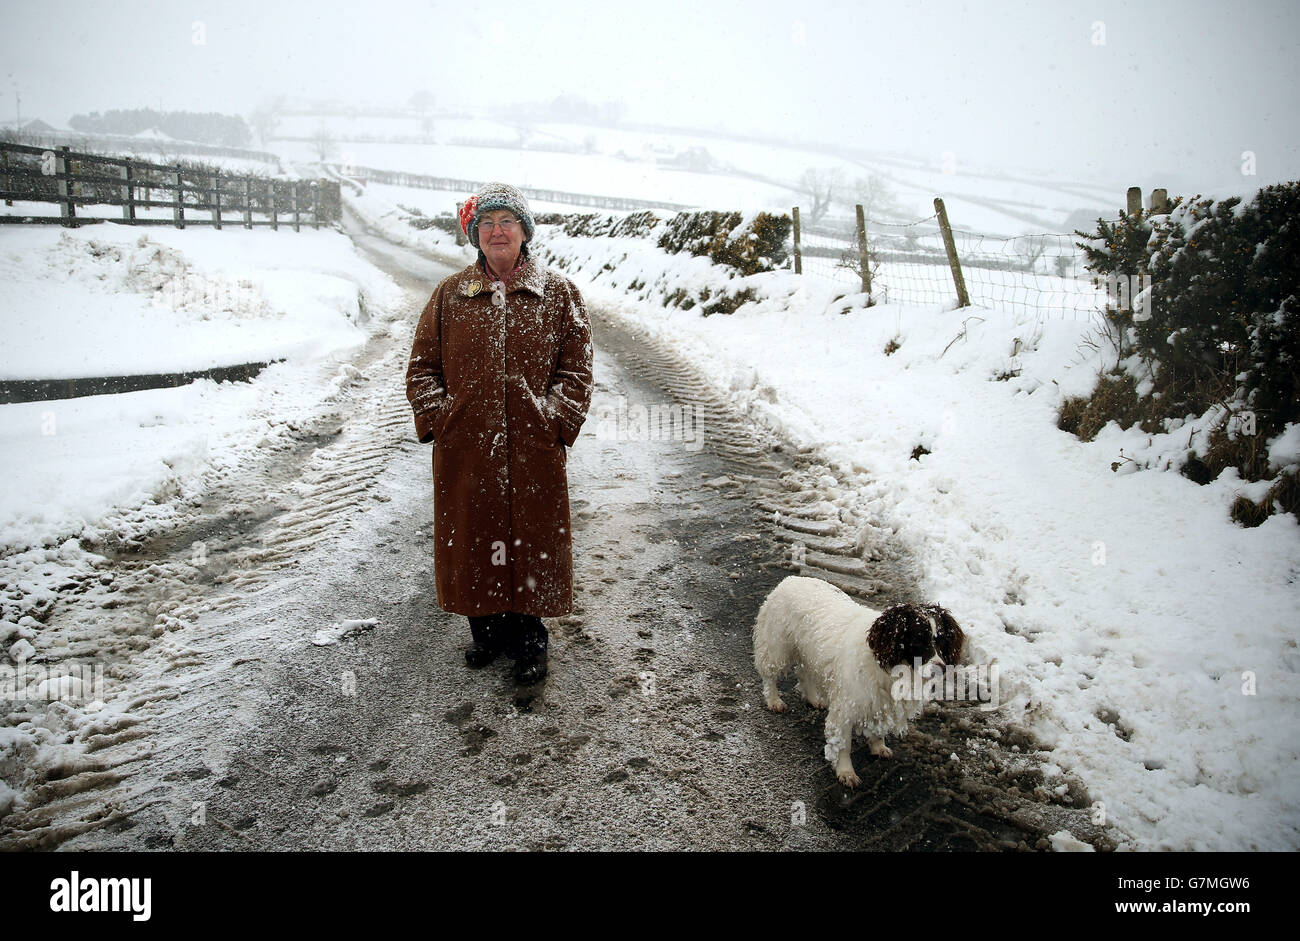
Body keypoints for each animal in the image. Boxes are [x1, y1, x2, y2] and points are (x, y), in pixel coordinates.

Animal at [754, 574, 967, 785]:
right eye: (918, 640)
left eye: (942, 641)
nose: (941, 668)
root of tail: (791, 579)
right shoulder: (845, 708)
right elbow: (843, 745)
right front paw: (846, 772)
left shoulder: (881, 703)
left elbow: (878, 731)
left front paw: (878, 747)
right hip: (777, 647)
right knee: (769, 676)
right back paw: (774, 700)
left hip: (808, 653)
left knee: (804, 673)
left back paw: (813, 698)